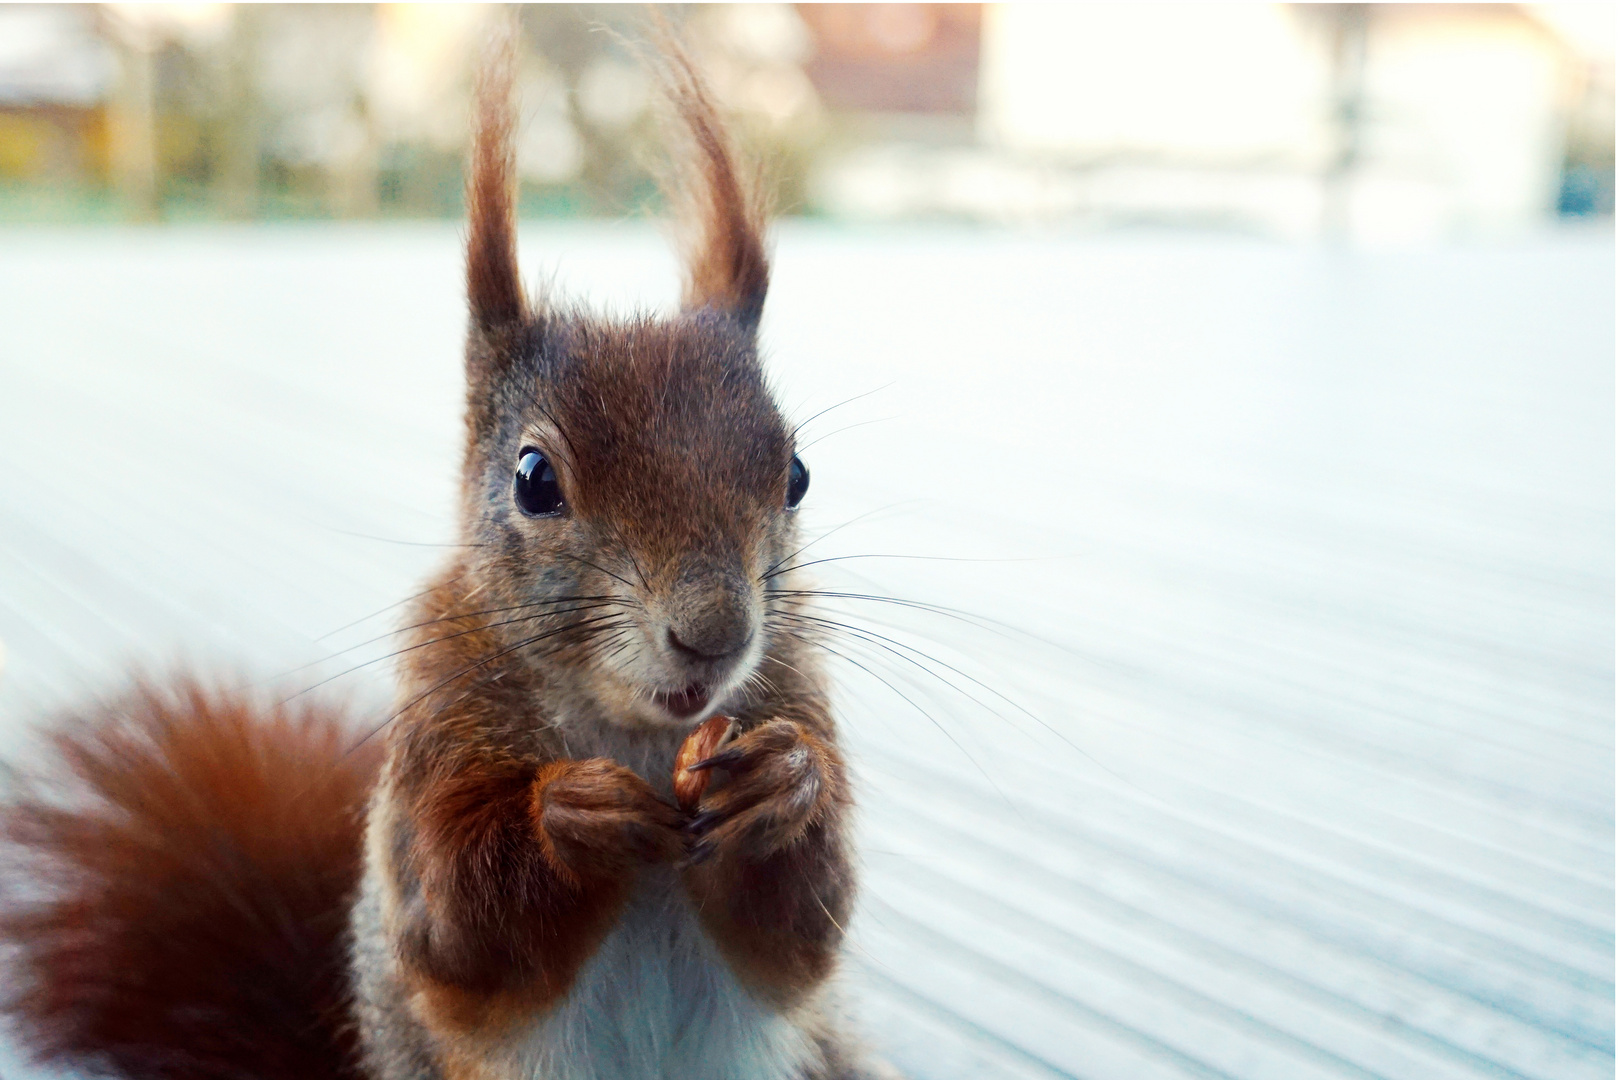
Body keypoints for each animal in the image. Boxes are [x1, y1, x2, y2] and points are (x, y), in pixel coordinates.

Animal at [0, 29, 894, 1080]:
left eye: (795, 473)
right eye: (534, 479)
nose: (715, 633)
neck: (631, 730)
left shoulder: (795, 686)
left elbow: (805, 928)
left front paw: (783, 784)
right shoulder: (436, 717)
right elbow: (455, 930)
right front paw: (569, 815)